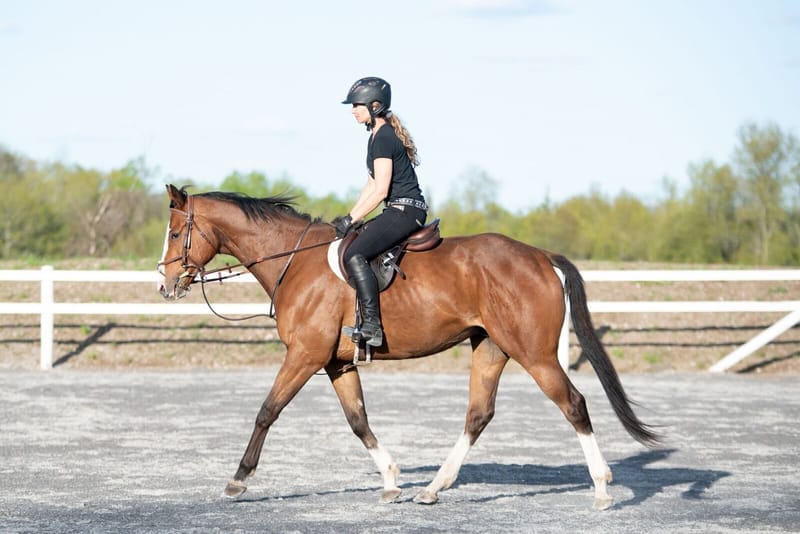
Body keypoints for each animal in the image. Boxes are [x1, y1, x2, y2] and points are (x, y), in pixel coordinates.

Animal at [158, 186, 664, 512]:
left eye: (175, 232)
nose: (165, 284)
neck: (294, 262)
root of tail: (541, 256)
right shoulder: (335, 364)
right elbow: (358, 420)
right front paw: (391, 480)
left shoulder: (303, 356)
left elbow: (267, 411)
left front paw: (238, 479)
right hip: (491, 347)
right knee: (478, 415)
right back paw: (434, 488)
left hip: (534, 354)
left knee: (574, 404)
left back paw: (601, 490)